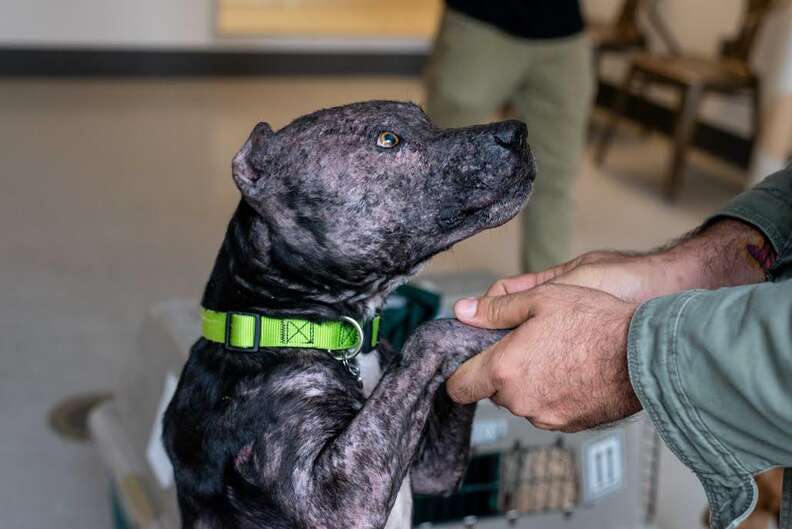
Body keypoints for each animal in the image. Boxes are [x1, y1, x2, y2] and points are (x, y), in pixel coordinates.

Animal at [163, 100, 536, 528]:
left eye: (426, 120)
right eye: (387, 139)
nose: (518, 131)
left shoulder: (432, 469)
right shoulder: (338, 499)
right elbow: (430, 334)